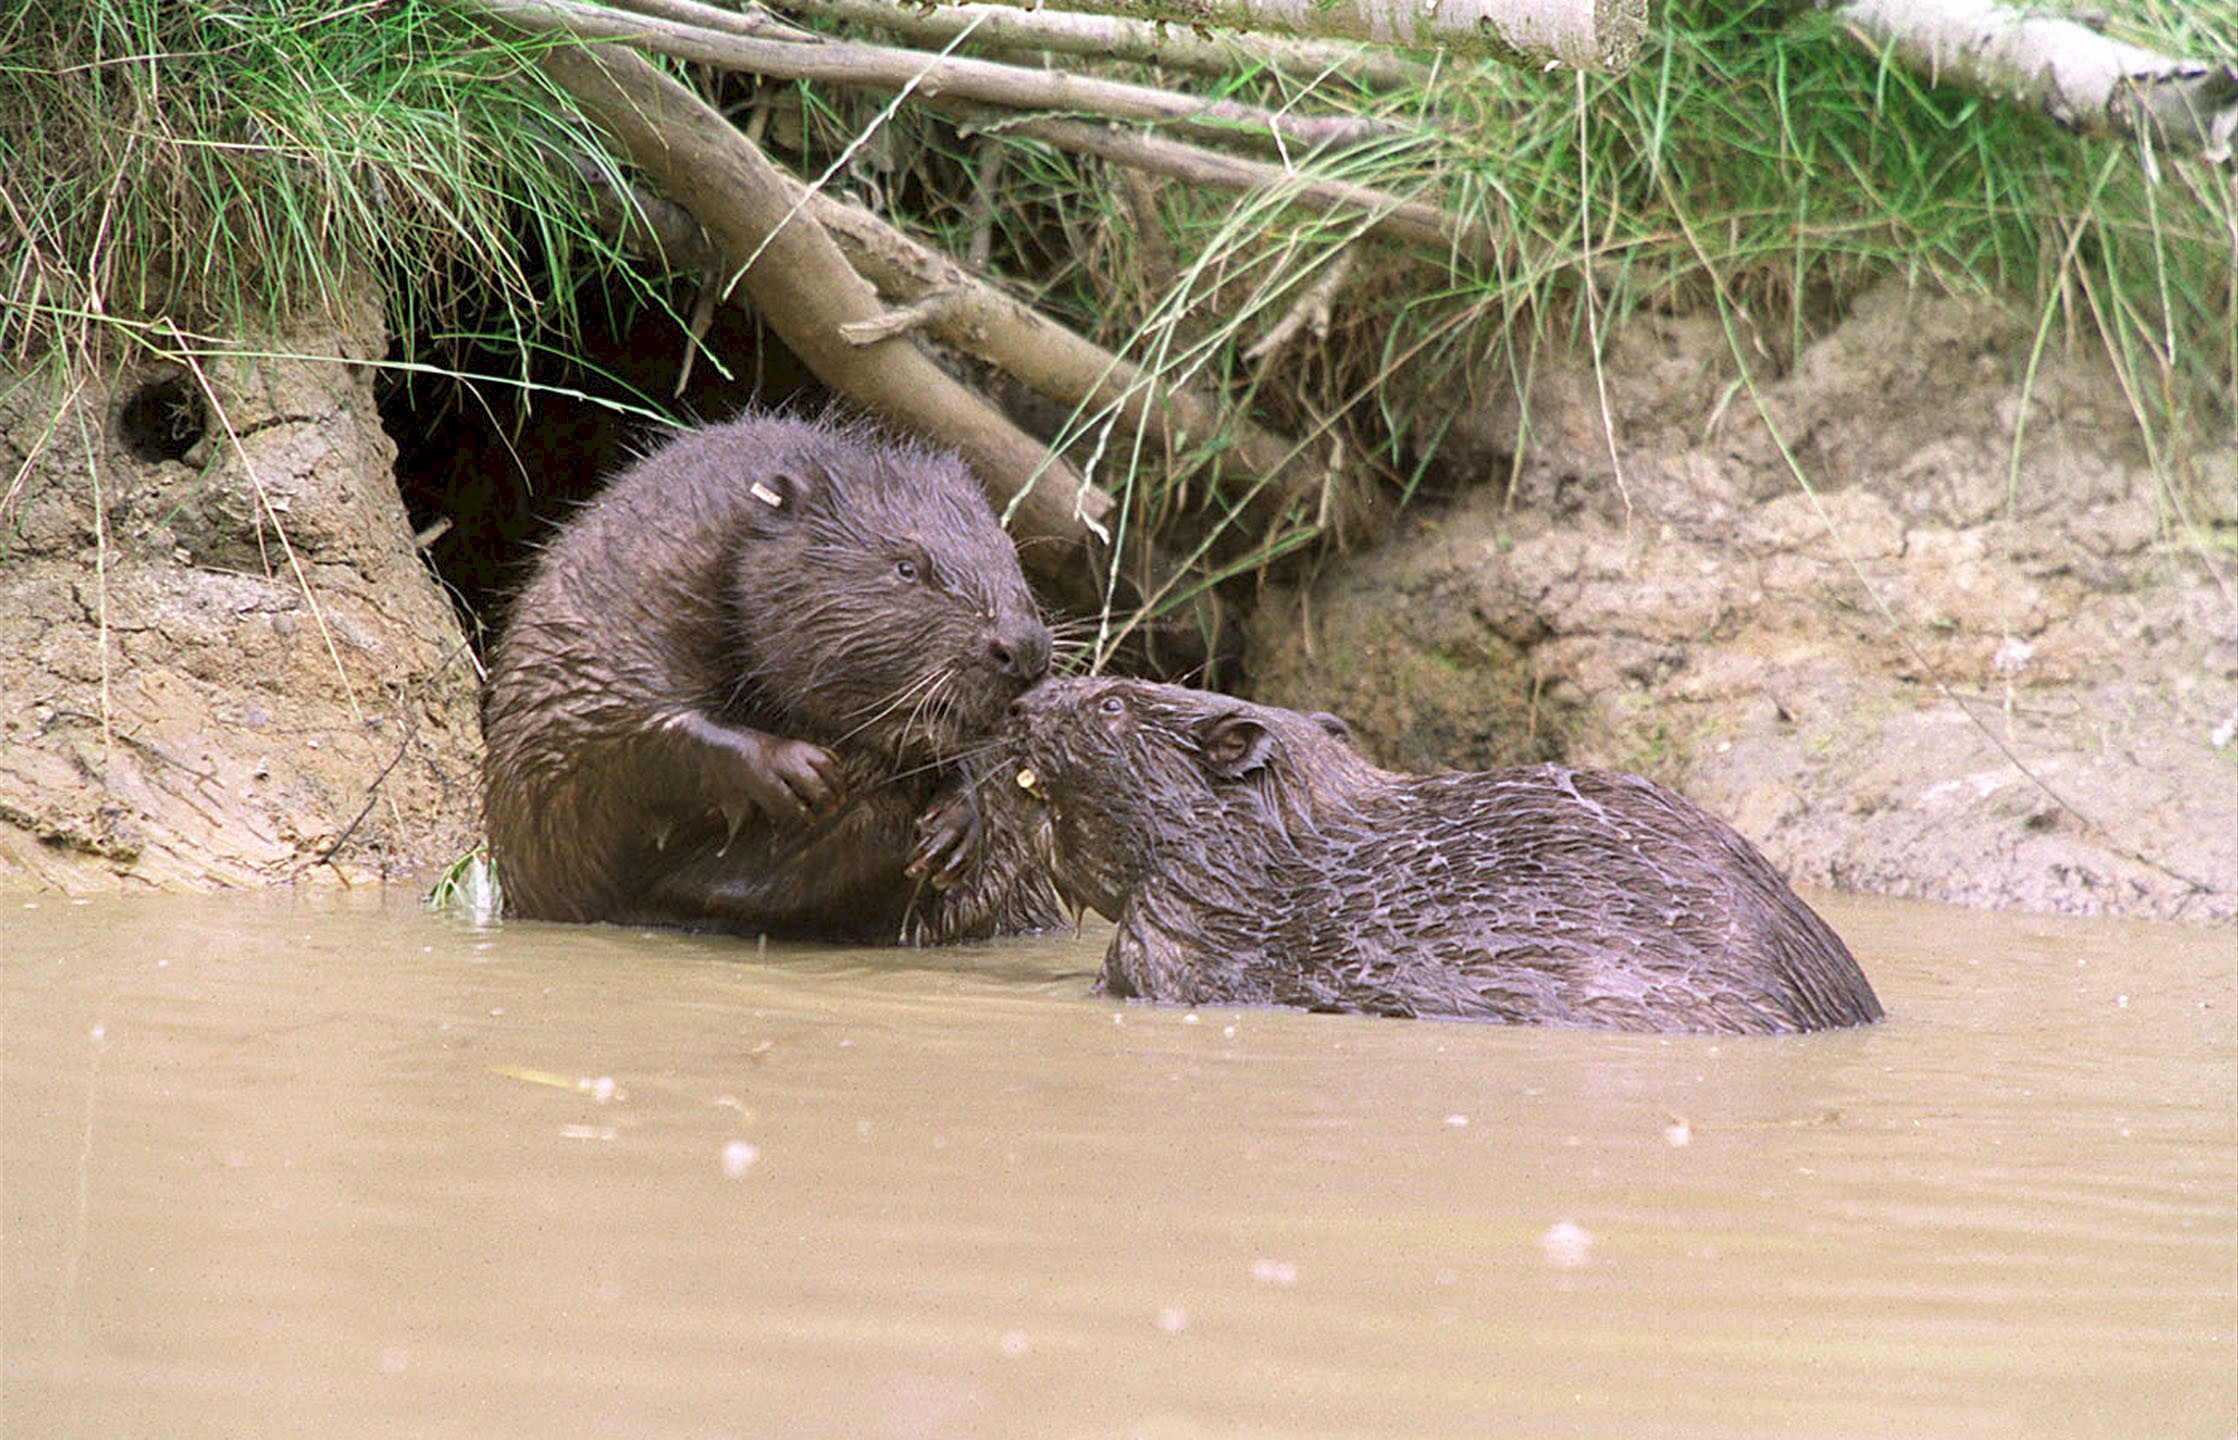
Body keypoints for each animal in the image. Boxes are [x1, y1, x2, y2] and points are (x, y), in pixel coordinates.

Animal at [478, 412, 1065, 945]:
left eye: (1010, 554)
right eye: (906, 567)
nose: (1024, 649)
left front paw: (954, 827)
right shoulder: (626, 605)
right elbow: (606, 737)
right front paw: (800, 770)